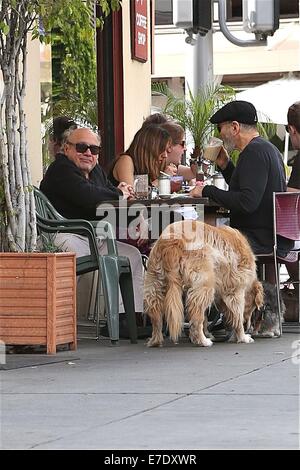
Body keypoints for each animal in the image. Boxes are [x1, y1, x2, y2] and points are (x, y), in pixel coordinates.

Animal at [144, 218, 264, 346]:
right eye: (253, 307)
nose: (248, 327)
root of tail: (173, 240)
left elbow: (208, 318)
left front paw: (207, 333)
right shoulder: (235, 291)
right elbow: (237, 317)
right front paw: (242, 337)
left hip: (155, 285)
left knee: (156, 317)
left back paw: (155, 341)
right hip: (204, 285)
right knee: (196, 317)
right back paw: (202, 341)